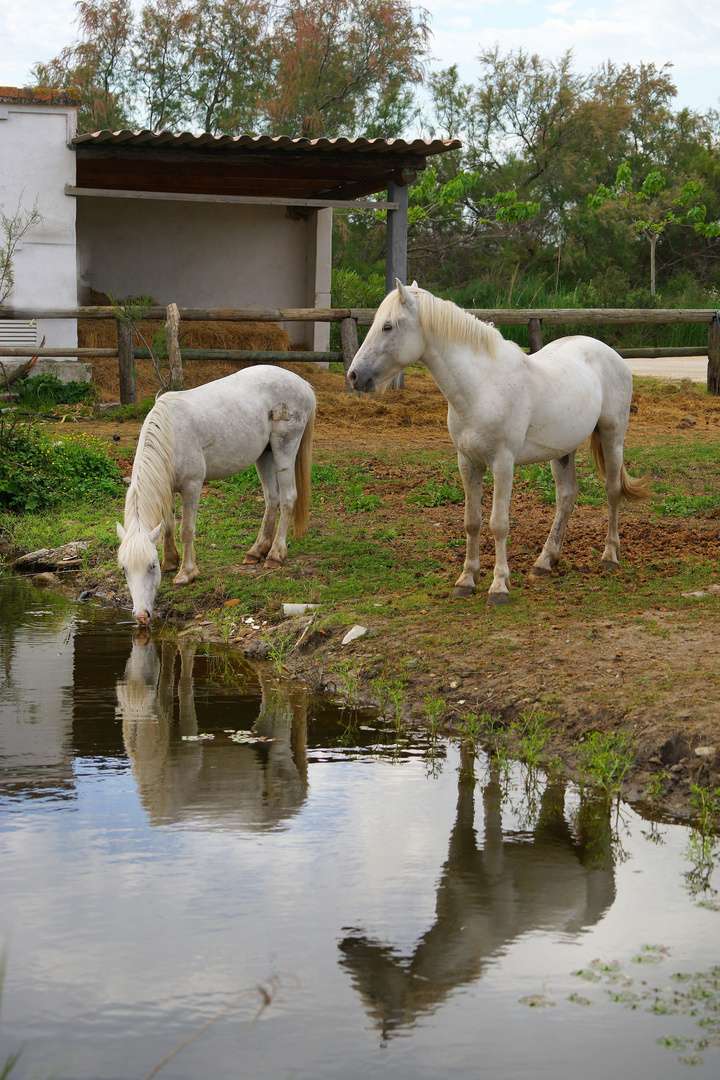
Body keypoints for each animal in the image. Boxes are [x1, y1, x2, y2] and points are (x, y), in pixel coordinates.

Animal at [117, 362, 315, 622]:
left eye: (151, 566)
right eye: (124, 569)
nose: (141, 615)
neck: (171, 436)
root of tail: (303, 384)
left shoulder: (191, 486)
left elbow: (186, 530)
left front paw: (186, 573)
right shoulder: (168, 487)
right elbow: (168, 525)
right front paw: (171, 560)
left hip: (284, 448)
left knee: (288, 498)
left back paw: (274, 555)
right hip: (265, 454)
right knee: (272, 499)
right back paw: (257, 550)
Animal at [345, 282, 651, 604]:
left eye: (388, 326)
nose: (354, 376)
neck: (481, 386)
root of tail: (612, 354)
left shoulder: (503, 463)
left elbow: (499, 524)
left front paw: (499, 585)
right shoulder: (467, 462)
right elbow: (472, 521)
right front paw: (466, 580)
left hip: (612, 436)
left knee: (613, 491)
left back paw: (609, 557)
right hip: (562, 451)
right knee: (566, 497)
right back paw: (545, 561)